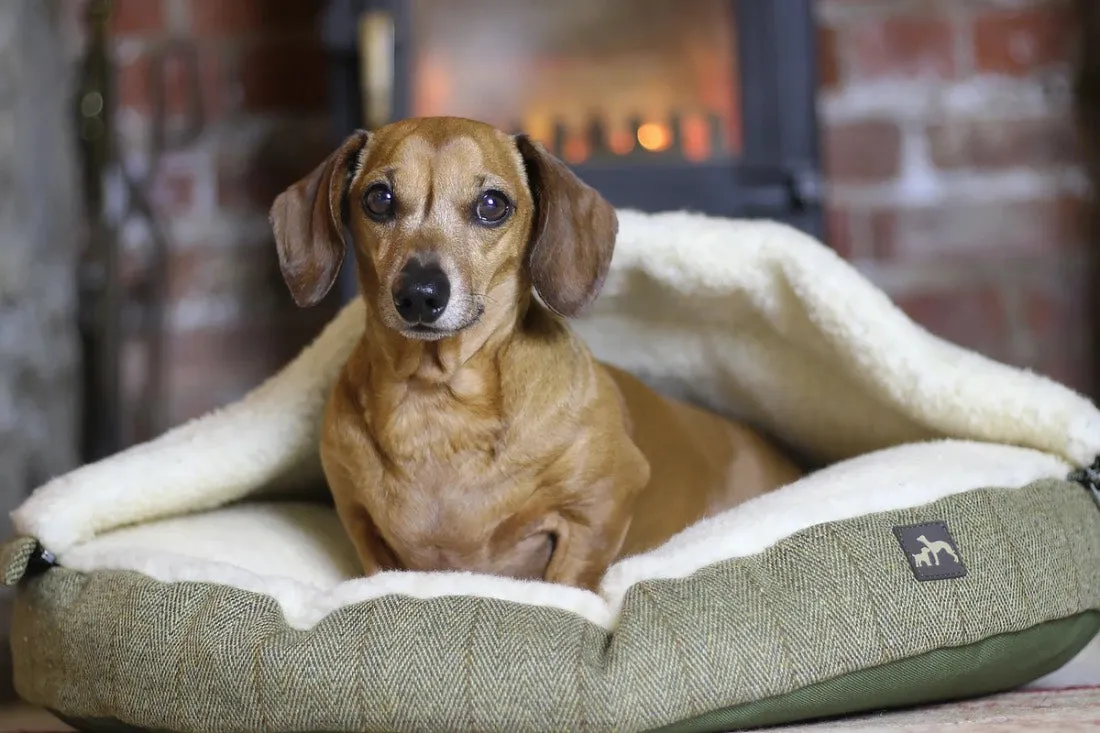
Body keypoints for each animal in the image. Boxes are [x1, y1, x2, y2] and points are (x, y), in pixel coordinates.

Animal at [266, 118, 800, 589]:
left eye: (492, 204)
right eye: (378, 199)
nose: (420, 294)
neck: (437, 405)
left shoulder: (601, 504)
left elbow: (568, 580)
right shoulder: (361, 524)